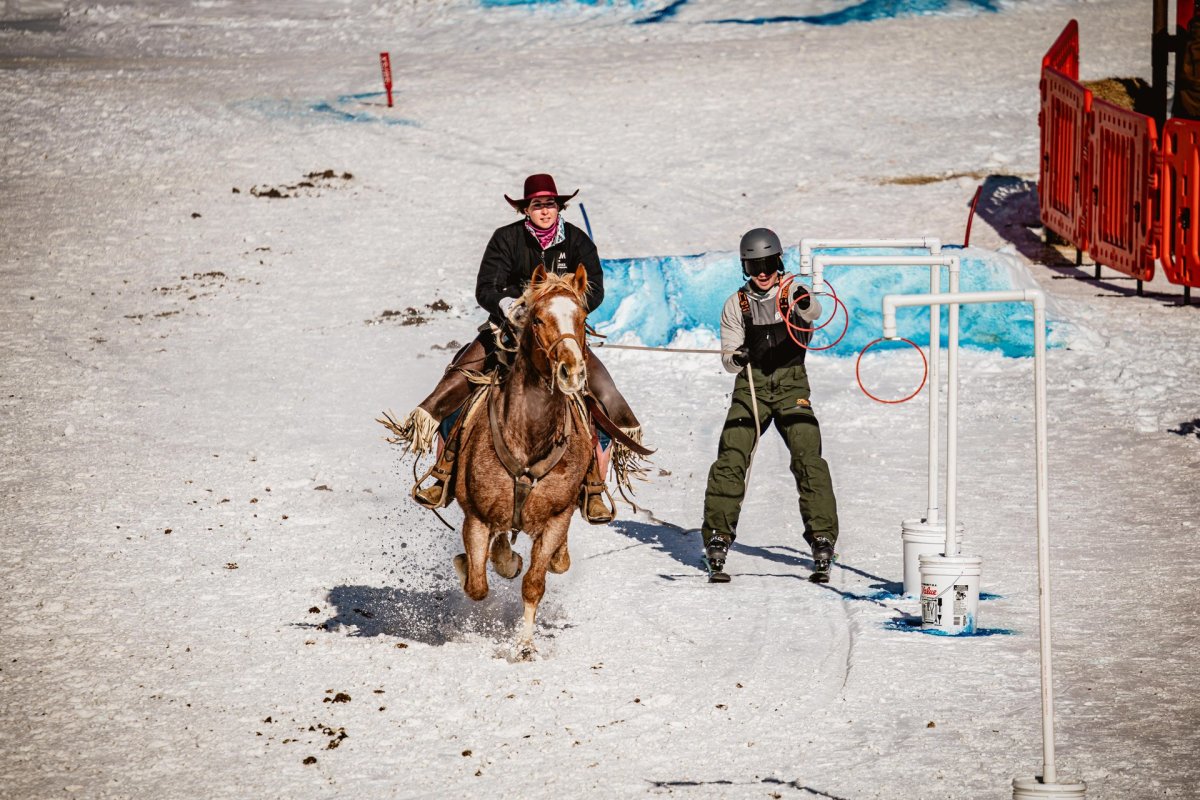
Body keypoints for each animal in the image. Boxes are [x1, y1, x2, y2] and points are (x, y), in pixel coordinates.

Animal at [451, 263, 594, 658]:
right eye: (538, 319)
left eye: (583, 316)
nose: (571, 371)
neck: (529, 440)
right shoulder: (476, 517)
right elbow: (476, 584)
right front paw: (483, 564)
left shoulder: (556, 520)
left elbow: (534, 583)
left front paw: (525, 645)